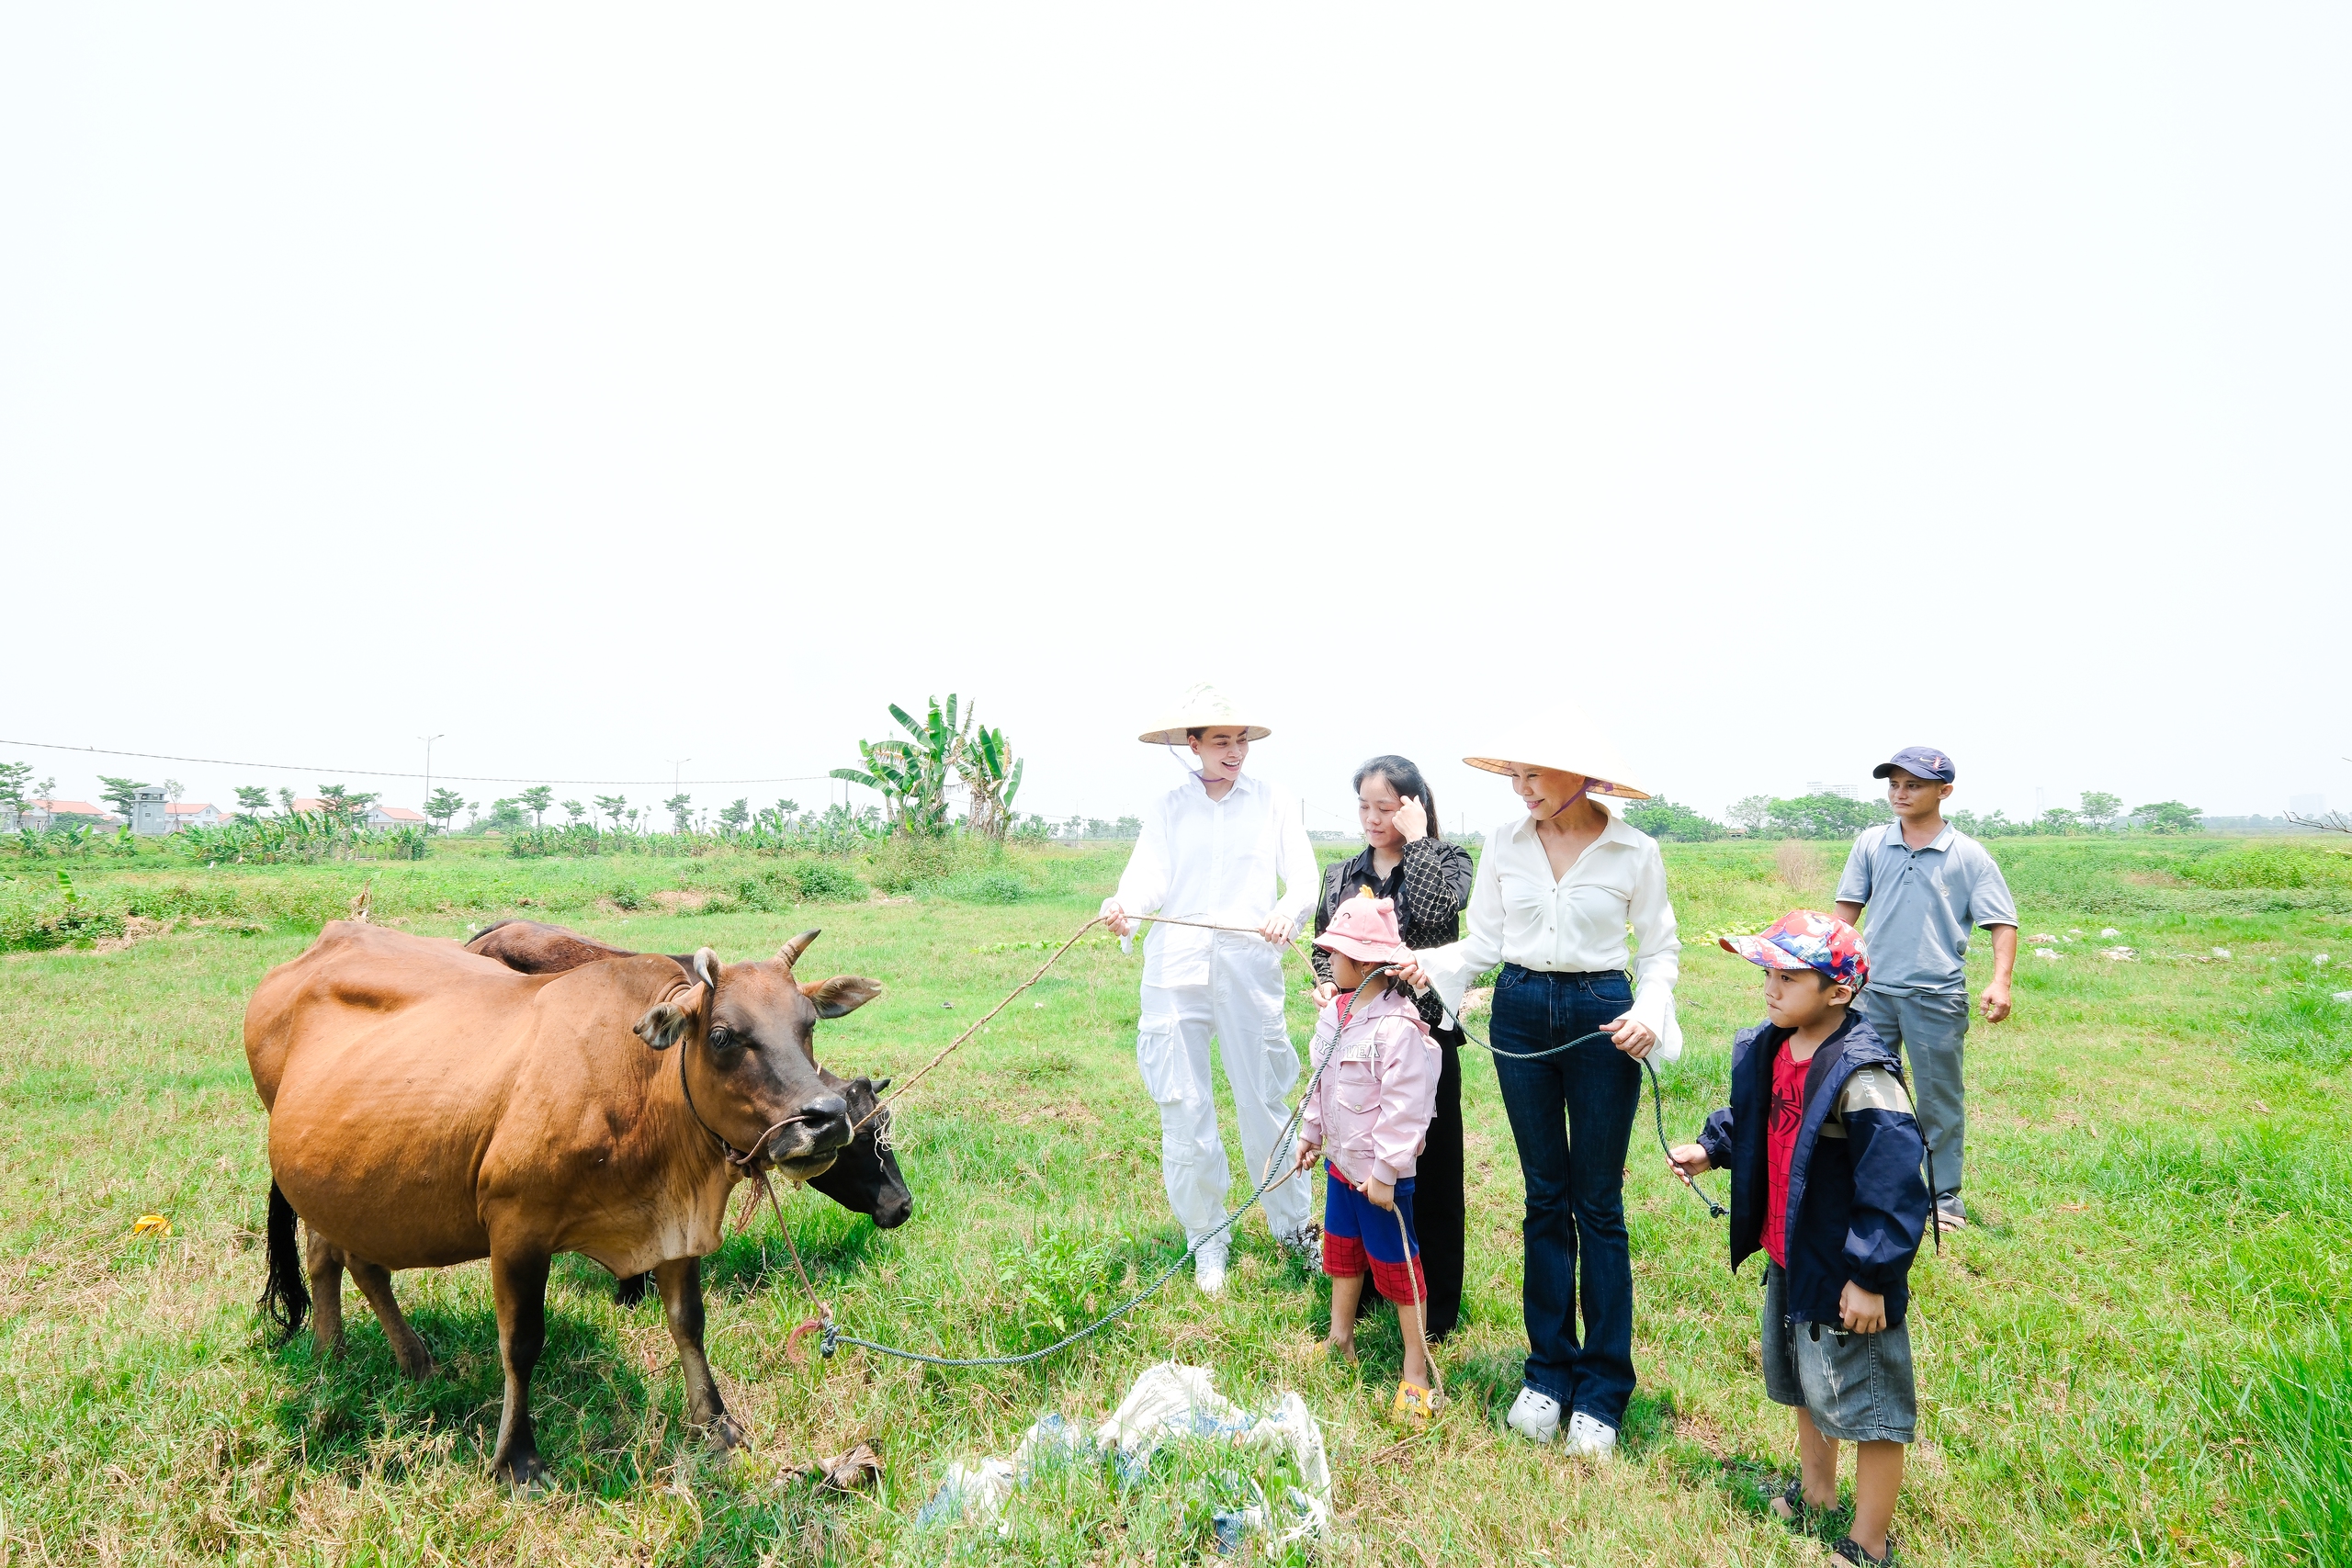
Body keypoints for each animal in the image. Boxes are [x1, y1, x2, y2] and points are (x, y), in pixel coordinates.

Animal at [243, 926, 879, 1495]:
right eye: (723, 1035)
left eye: (808, 1024)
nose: (824, 1118)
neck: (638, 1084)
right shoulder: (516, 1230)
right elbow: (521, 1343)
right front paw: (517, 1461)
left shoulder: (674, 1226)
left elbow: (688, 1322)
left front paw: (717, 1424)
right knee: (337, 1260)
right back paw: (336, 1356)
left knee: (350, 1261)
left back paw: (399, 1359)